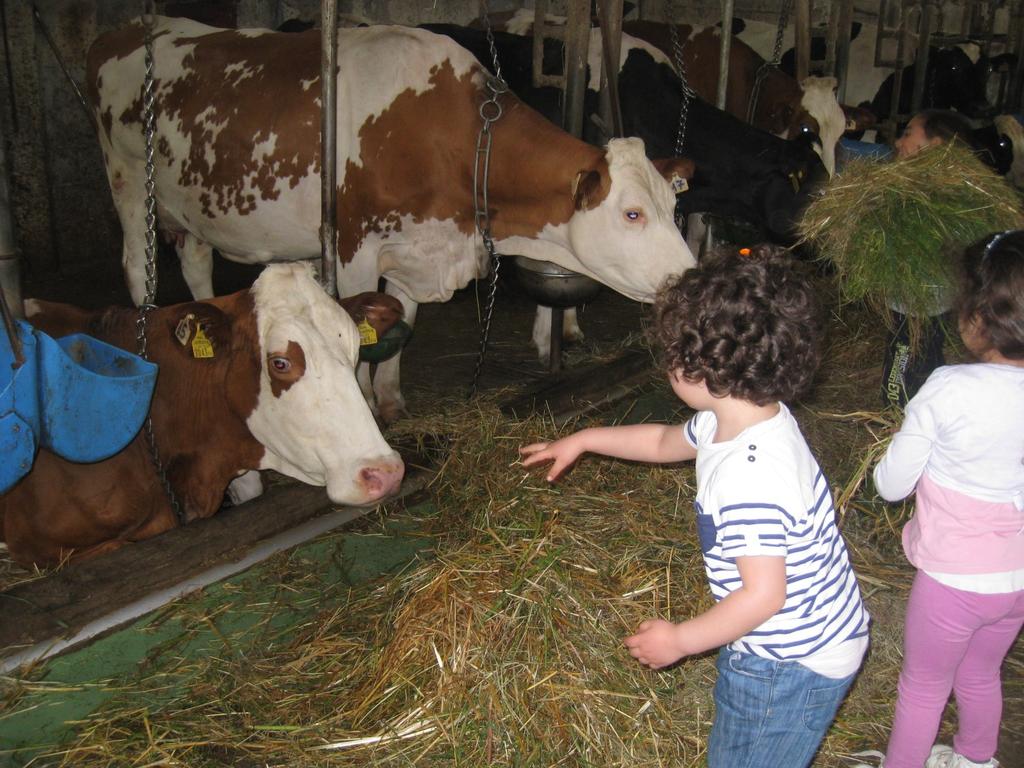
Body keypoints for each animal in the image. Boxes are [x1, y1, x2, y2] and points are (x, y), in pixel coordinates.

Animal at [86, 18, 696, 423]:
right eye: (633, 213)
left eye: (674, 207)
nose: (691, 282)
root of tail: (131, 30)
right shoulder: (354, 248)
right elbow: (361, 331)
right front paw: (363, 403)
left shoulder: (415, 249)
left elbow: (400, 325)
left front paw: (391, 399)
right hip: (129, 184)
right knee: (138, 272)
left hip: (194, 209)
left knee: (195, 264)